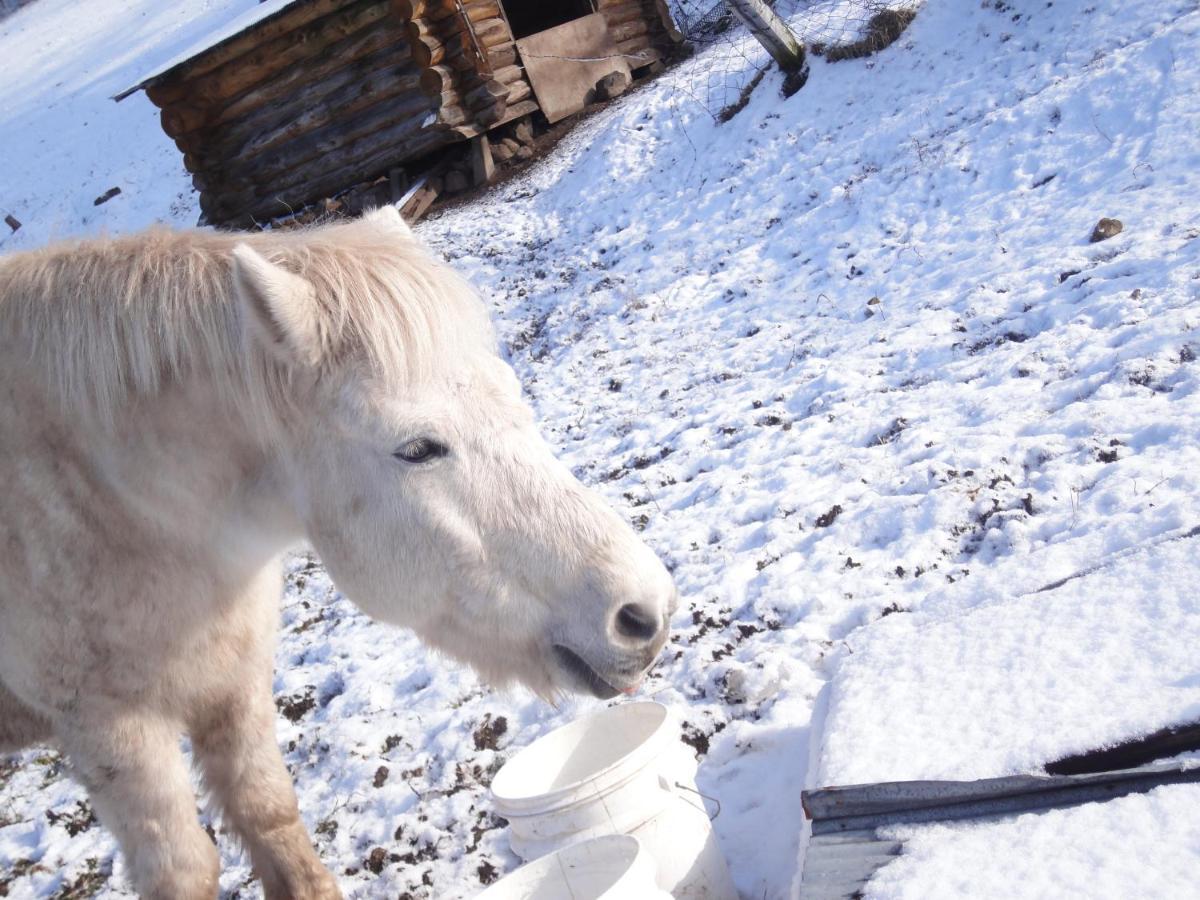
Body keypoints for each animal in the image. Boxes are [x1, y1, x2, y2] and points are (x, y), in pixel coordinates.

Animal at [0, 207, 676, 897]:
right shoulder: (111, 731)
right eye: (417, 449)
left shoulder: (236, 681)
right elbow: (185, 870)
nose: (643, 614)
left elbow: (271, 814)